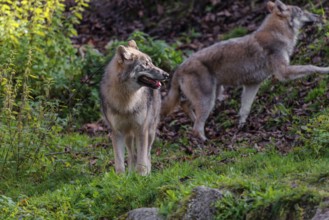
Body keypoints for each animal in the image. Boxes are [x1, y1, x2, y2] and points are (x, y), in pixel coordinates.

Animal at [99, 40, 167, 175]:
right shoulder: (117, 132)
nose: (166, 74)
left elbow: (142, 159)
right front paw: (121, 177)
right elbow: (119, 161)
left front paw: (141, 176)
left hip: (150, 132)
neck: (126, 102)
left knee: (147, 154)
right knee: (132, 155)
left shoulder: (141, 129)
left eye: (151, 62)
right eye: (146, 64)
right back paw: (130, 173)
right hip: (128, 135)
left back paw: (147, 173)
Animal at [161, 0, 328, 141]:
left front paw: (241, 129)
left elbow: (244, 110)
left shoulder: (252, 85)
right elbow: (310, 66)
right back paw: (205, 142)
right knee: (195, 128)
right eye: (301, 11)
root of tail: (179, 68)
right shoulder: (283, 72)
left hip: (215, 94)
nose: (318, 15)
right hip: (209, 99)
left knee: (185, 106)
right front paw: (325, 69)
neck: (279, 32)